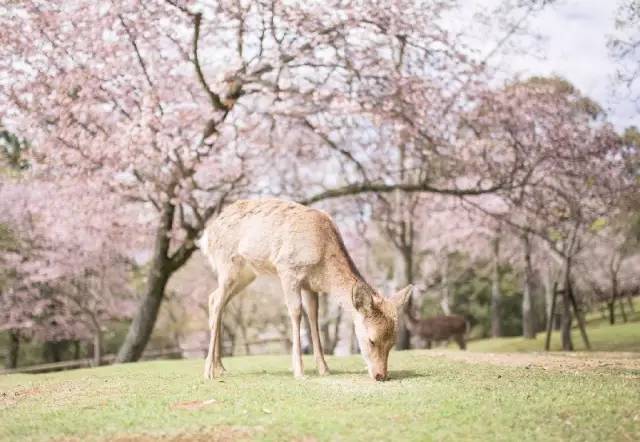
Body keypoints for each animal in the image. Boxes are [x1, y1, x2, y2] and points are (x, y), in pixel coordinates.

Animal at [198, 199, 412, 382]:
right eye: (371, 340)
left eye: (393, 342)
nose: (381, 375)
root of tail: (206, 236)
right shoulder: (287, 269)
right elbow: (296, 312)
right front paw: (299, 371)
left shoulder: (310, 285)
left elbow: (313, 316)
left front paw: (324, 369)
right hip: (227, 264)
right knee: (217, 303)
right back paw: (208, 371)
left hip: (246, 274)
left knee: (213, 298)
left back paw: (220, 367)